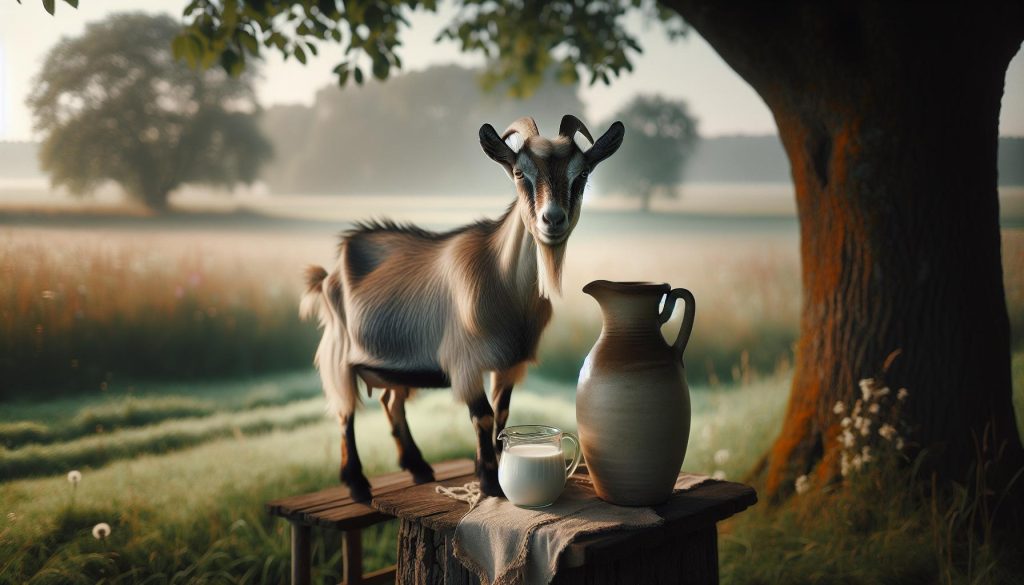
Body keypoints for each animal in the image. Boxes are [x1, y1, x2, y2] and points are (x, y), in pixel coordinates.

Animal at [301, 115, 625, 501]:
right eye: (520, 172)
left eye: (583, 173)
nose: (552, 219)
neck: (501, 281)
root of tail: (329, 272)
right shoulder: (465, 361)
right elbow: (483, 416)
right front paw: (488, 482)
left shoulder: (509, 364)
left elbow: (502, 415)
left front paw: (496, 466)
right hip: (337, 351)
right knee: (344, 411)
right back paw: (357, 484)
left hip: (396, 363)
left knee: (391, 403)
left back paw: (419, 468)